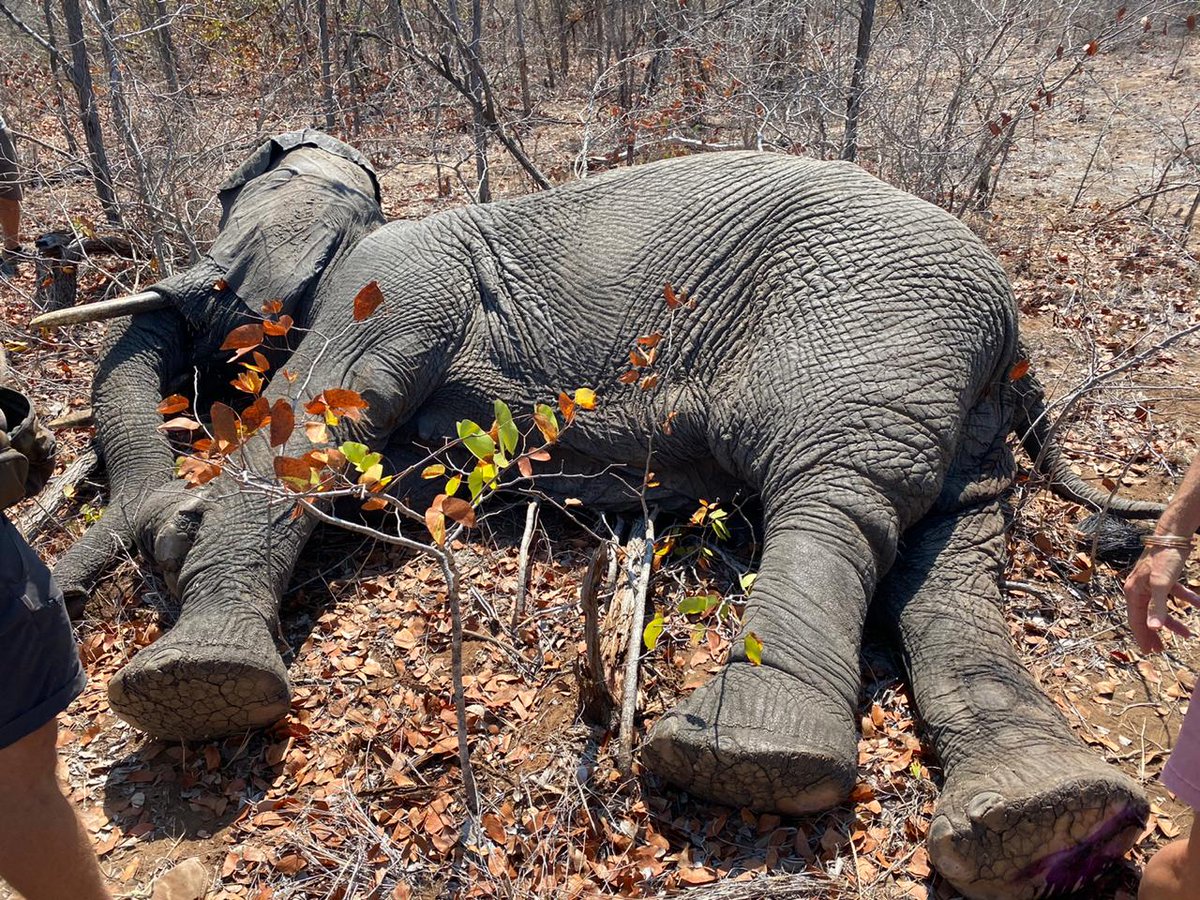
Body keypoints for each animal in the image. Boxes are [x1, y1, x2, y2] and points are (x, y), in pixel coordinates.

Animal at [35, 135, 1167, 900]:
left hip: (869, 325)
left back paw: (746, 759)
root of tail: (1013, 319)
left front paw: (195, 679)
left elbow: (315, 415)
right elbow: (381, 466)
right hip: (957, 396)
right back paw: (1044, 819)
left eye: (217, 248)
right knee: (950, 555)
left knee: (841, 494)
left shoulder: (394, 283)